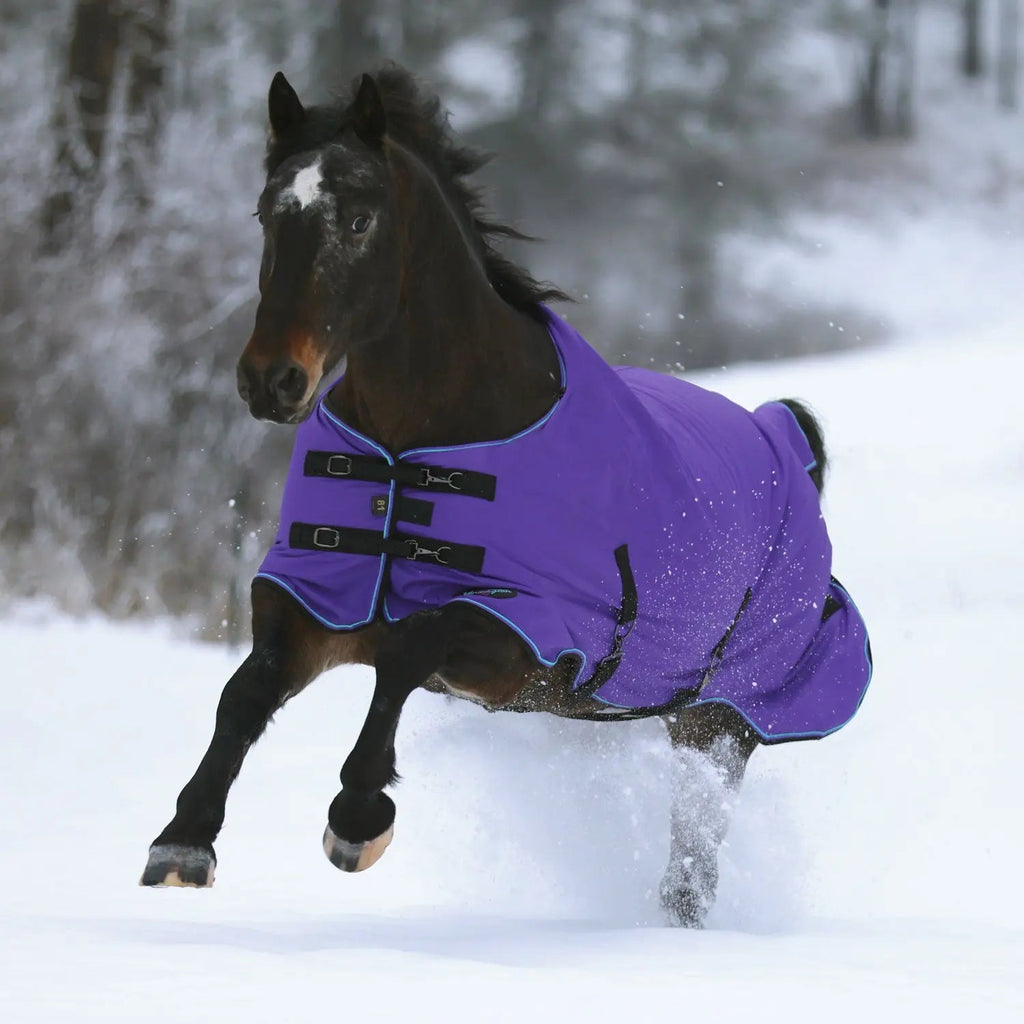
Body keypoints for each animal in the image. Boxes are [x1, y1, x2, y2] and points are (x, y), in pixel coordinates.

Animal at [140, 66, 872, 927]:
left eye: (358, 219)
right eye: (266, 213)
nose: (271, 379)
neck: (421, 441)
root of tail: (784, 438)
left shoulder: (525, 636)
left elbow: (408, 653)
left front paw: (358, 818)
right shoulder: (320, 599)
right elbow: (245, 693)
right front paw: (184, 842)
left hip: (720, 720)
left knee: (693, 861)